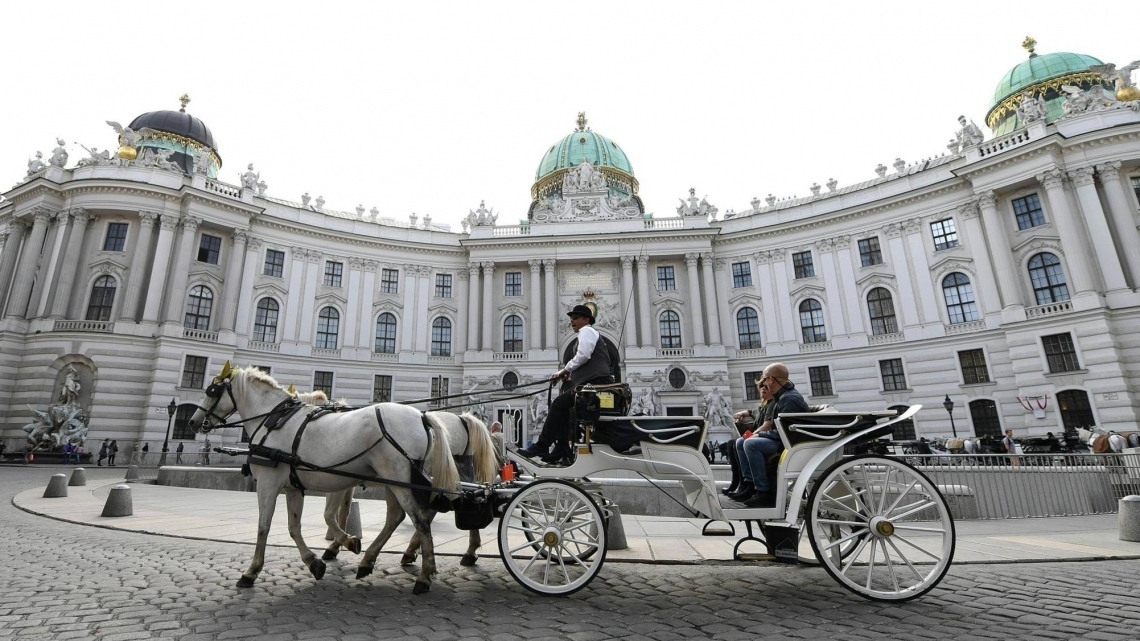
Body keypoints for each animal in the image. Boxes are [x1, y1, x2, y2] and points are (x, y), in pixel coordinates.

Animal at [188, 362, 458, 593]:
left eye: (212, 390)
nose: (193, 421)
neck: (274, 420)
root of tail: (422, 416)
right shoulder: (293, 487)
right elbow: (295, 527)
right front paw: (316, 561)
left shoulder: (268, 483)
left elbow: (264, 526)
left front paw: (251, 571)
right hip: (392, 481)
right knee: (396, 517)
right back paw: (368, 561)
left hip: (400, 479)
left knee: (419, 520)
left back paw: (424, 575)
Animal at [321, 408, 499, 563]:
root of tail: (461, 419)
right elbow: (344, 511)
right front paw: (338, 544)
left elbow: (336, 513)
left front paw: (337, 544)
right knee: (467, 497)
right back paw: (469, 550)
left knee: (431, 509)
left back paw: (412, 551)